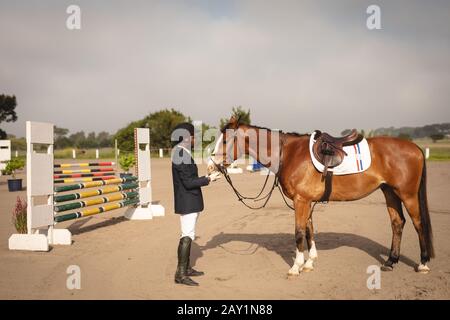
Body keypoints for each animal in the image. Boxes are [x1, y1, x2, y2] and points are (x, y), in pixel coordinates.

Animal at [207, 117, 432, 276]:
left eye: (225, 140)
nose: (210, 167)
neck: (288, 153)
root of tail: (415, 148)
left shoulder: (301, 201)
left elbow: (299, 232)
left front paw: (296, 267)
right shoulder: (307, 201)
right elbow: (309, 231)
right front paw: (309, 263)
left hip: (407, 194)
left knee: (418, 223)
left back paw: (423, 263)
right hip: (390, 192)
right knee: (397, 223)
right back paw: (390, 261)